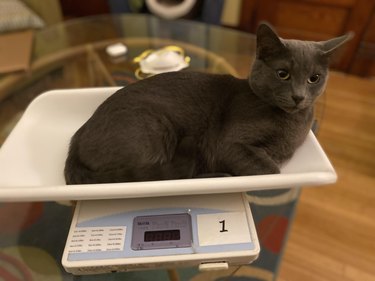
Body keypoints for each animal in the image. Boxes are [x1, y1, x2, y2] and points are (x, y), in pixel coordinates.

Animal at [64, 24, 352, 184]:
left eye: (314, 78)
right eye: (283, 74)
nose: (299, 96)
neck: (290, 124)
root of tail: (76, 140)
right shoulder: (229, 144)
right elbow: (270, 170)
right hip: (153, 131)